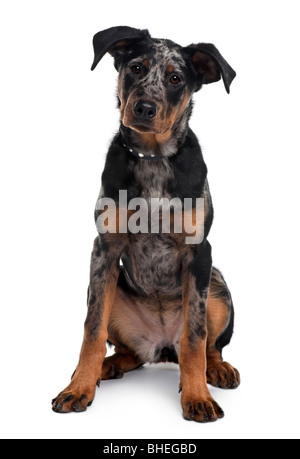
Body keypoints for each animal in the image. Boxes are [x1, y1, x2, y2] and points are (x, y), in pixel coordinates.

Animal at [51, 26, 239, 424]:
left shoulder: (199, 252)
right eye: (136, 67)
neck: (153, 158)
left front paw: (198, 397)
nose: (144, 108)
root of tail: (162, 345)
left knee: (205, 347)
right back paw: (106, 367)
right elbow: (91, 331)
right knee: (130, 353)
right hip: (114, 293)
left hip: (217, 287)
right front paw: (78, 388)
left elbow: (196, 337)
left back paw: (216, 370)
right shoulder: (104, 250)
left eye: (175, 78)